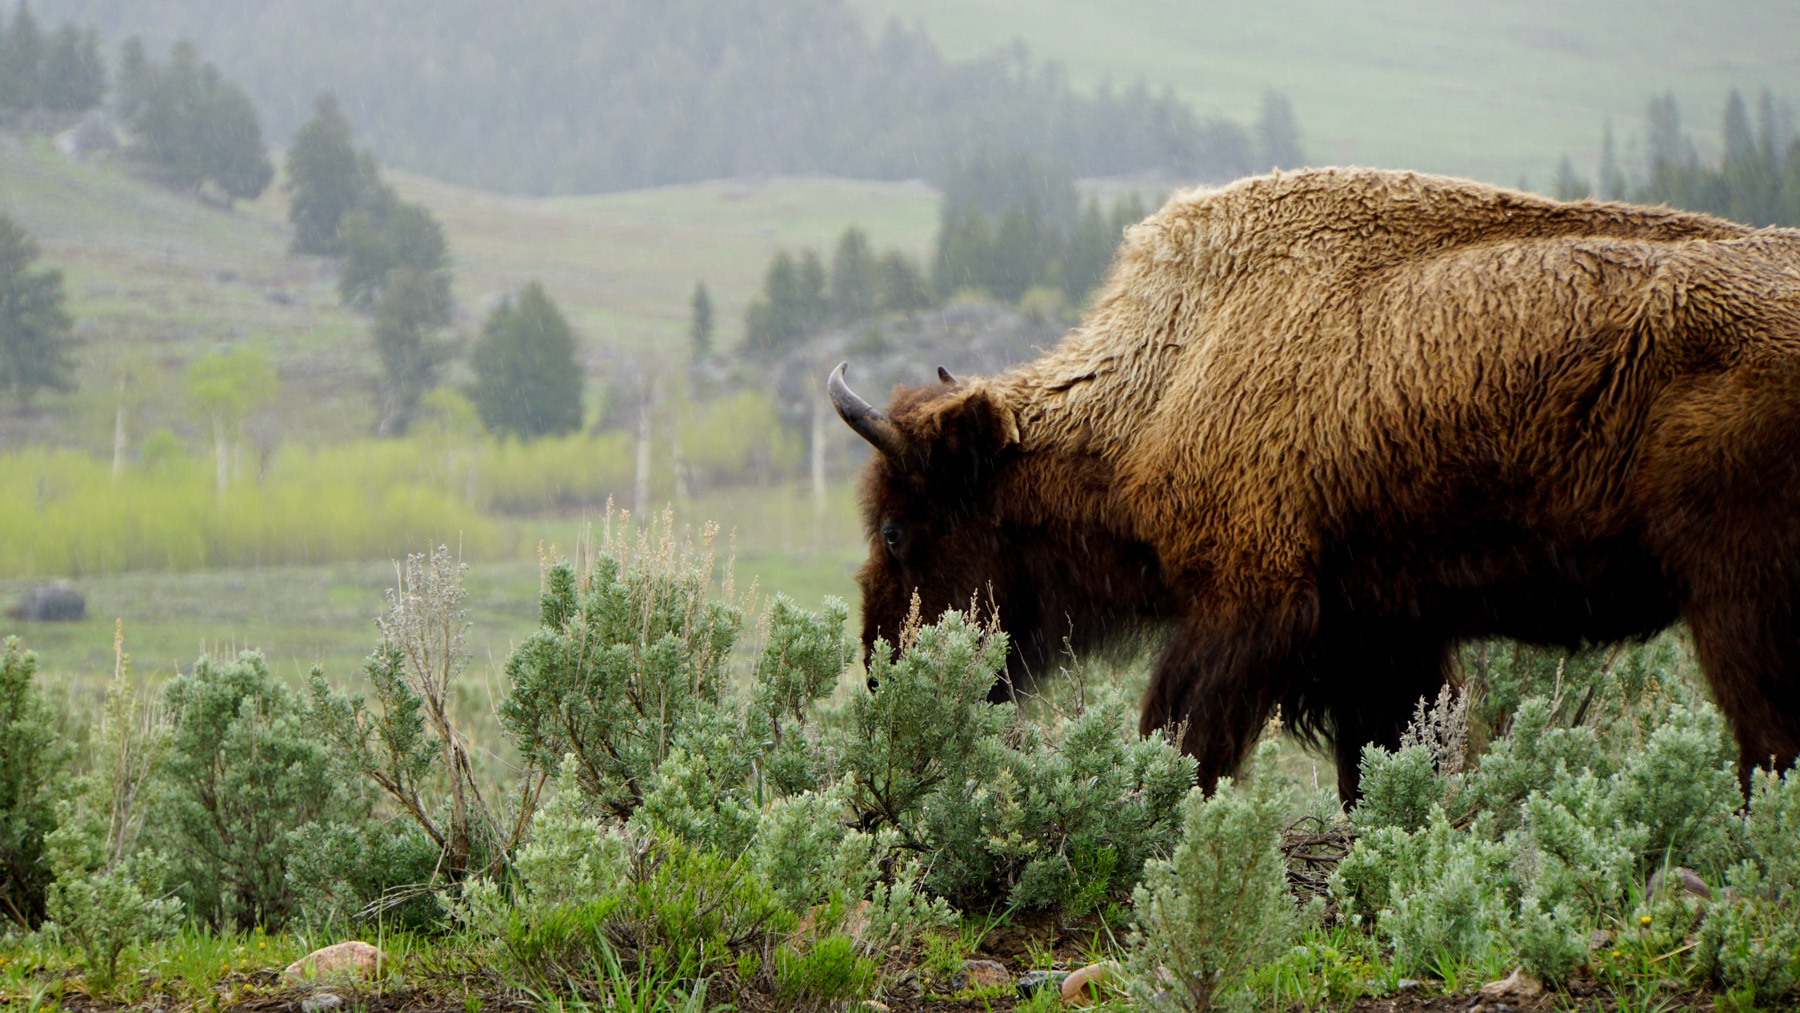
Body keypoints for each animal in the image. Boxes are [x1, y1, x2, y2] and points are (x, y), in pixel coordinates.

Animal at [835, 166, 1800, 806]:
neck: (1176, 367)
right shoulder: (1377, 629)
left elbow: (1182, 736)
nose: (884, 676)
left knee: (1769, 740)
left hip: (1733, 601)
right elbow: (1376, 759)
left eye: (897, 530)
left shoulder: (1250, 599)